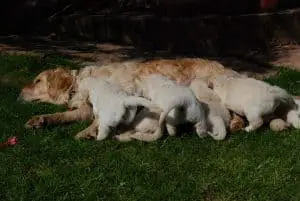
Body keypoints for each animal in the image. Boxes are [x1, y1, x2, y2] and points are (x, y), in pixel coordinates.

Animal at [17, 57, 245, 137]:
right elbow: (64, 115)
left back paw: (236, 123)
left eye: (37, 81)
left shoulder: (120, 92)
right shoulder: (85, 108)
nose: (19, 92)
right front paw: (40, 120)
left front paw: (89, 131)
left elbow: (98, 118)